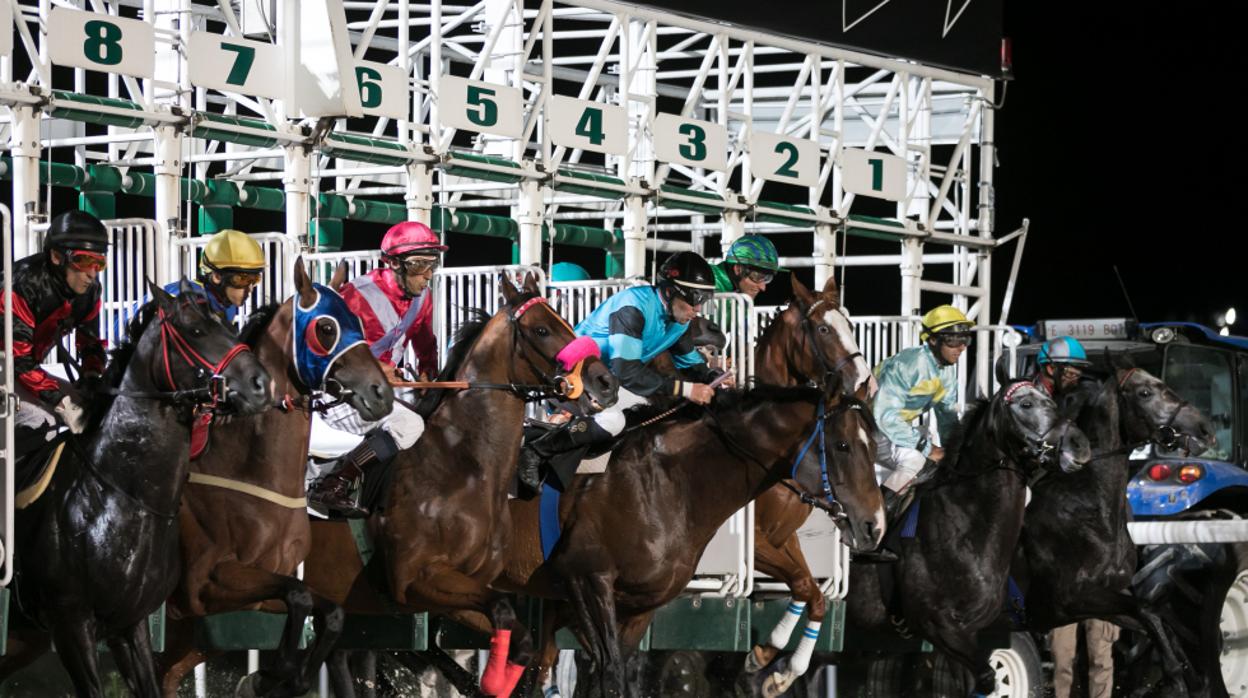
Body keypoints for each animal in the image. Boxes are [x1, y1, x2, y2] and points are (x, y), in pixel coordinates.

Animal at [0, 280, 273, 694]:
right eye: (195, 330)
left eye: (228, 325)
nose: (261, 384)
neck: (118, 500)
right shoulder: (70, 623)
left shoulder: (130, 623)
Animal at [298, 274, 619, 698]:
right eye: (542, 329)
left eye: (565, 321)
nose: (606, 382)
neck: (464, 467)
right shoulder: (417, 579)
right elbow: (503, 614)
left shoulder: (465, 589)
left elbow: (517, 635)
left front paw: (497, 680)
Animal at [848, 382, 1093, 698]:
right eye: (1026, 404)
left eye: (1050, 402)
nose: (1079, 444)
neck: (966, 528)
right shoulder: (939, 626)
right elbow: (986, 677)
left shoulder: (969, 630)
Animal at [1013, 362, 1218, 694]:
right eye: (1145, 392)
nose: (1204, 429)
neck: (1089, 509)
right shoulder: (1070, 598)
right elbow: (1148, 610)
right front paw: (1175, 677)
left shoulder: (1107, 598)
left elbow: (1157, 620)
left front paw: (1192, 678)